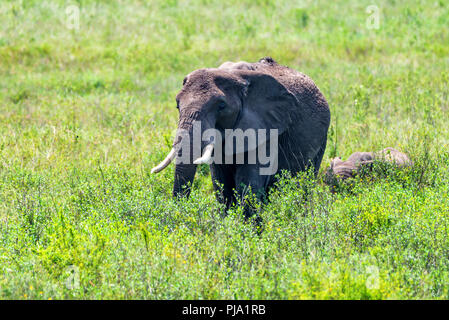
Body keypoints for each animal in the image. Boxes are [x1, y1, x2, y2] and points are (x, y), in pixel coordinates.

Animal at [152, 58, 330, 218]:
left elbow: (248, 183)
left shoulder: (265, 129)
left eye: (221, 106)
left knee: (304, 184)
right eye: (177, 104)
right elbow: (222, 184)